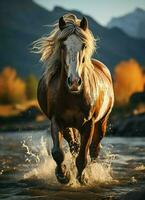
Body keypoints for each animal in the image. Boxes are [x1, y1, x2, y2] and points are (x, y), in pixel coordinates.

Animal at [33, 13, 114, 184]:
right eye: (63, 45)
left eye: (83, 45)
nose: (75, 82)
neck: (73, 96)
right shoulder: (57, 120)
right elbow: (58, 152)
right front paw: (63, 175)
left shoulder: (89, 124)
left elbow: (83, 156)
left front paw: (83, 177)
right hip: (69, 127)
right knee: (74, 147)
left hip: (102, 122)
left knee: (93, 150)